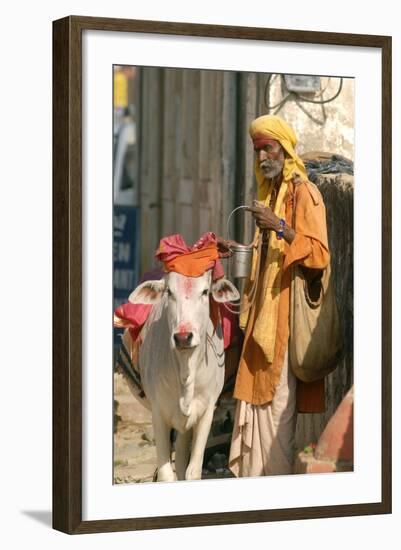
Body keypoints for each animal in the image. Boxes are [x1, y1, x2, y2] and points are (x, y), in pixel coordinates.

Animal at [130, 272, 239, 484]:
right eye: (169, 292)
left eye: (205, 292)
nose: (183, 337)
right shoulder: (158, 413)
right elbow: (165, 474)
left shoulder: (207, 412)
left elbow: (193, 471)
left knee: (181, 459)